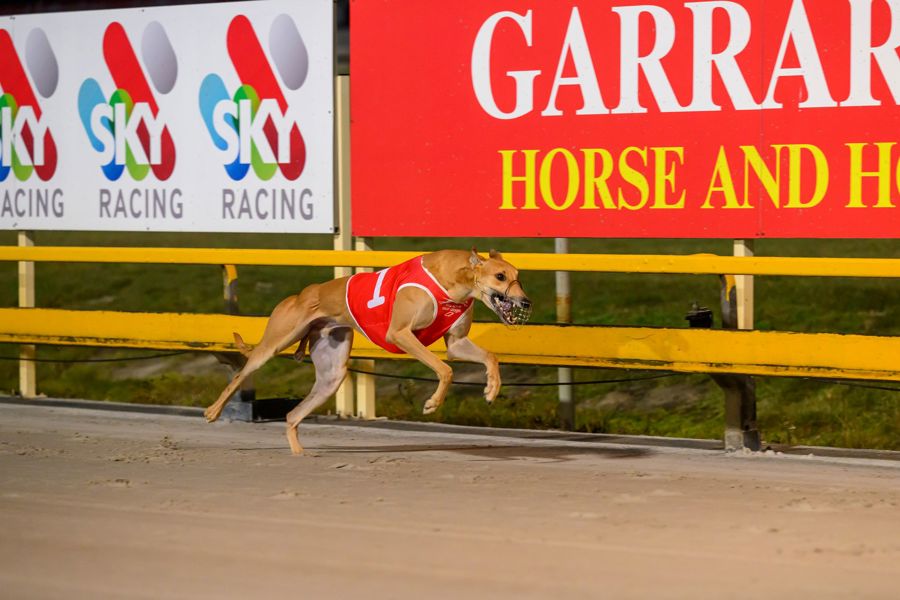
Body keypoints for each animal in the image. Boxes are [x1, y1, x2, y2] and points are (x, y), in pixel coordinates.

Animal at [204, 249, 531, 454]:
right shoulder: (400, 333)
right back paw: (213, 411)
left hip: (332, 374)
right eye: (500, 276)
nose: (526, 302)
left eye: (518, 276)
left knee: (292, 414)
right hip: (276, 341)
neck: (455, 280)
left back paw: (300, 454)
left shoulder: (456, 343)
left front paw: (491, 389)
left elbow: (489, 357)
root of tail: (303, 293)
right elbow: (445, 370)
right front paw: (432, 403)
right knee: (240, 375)